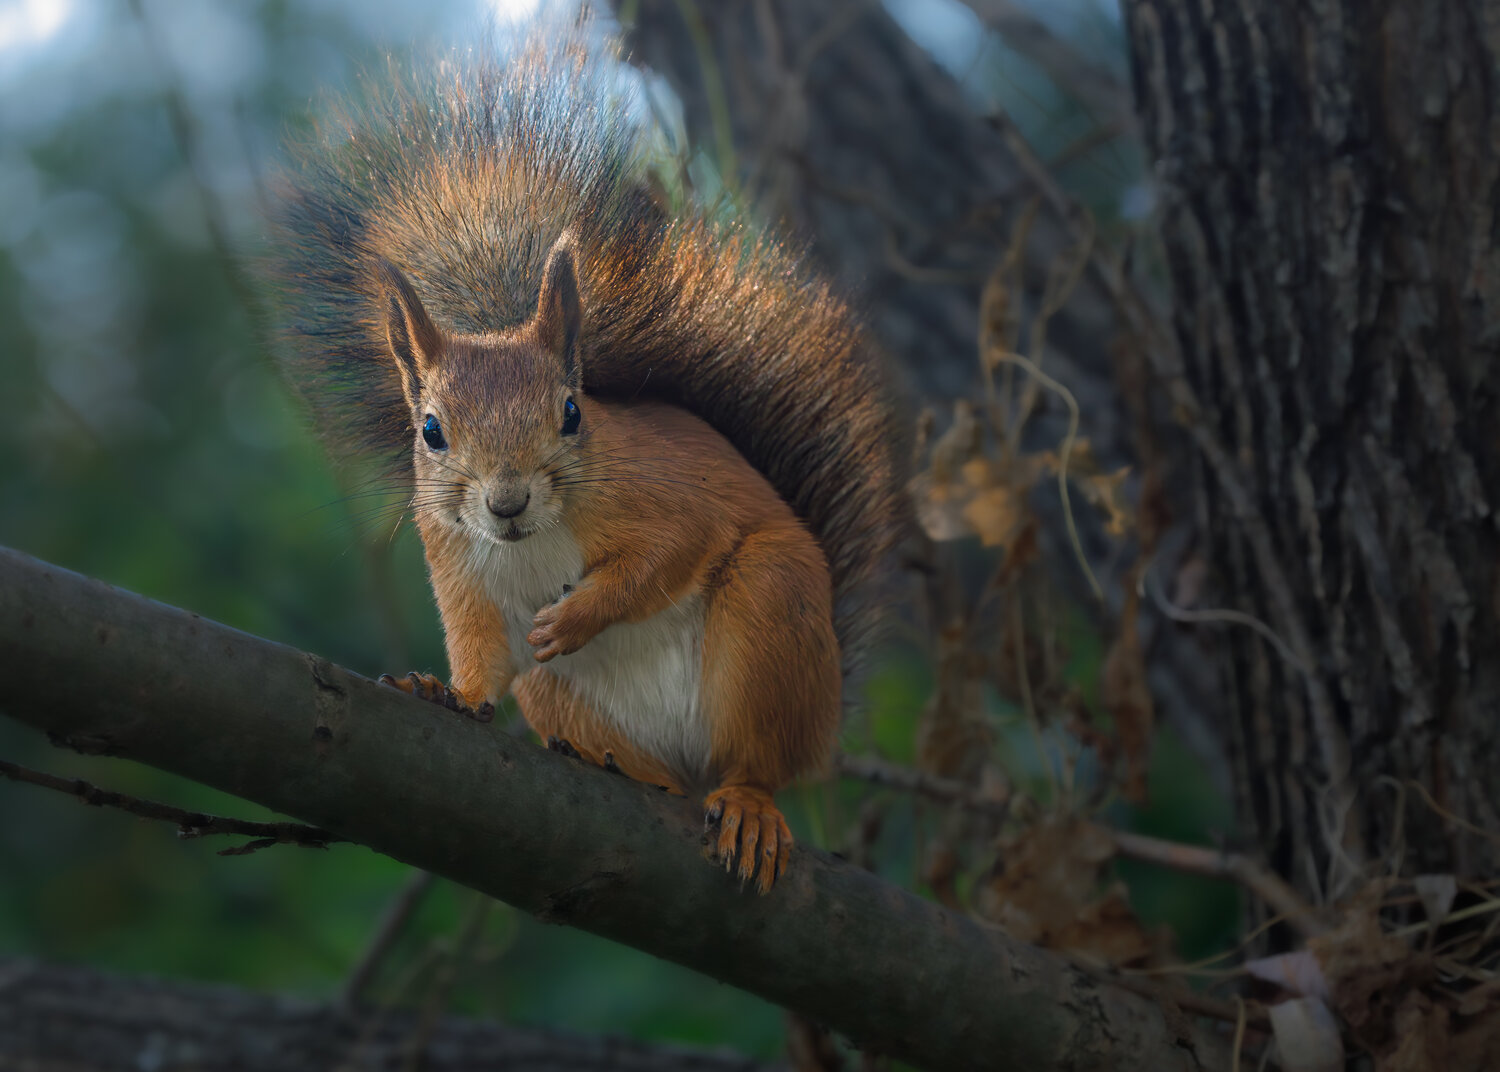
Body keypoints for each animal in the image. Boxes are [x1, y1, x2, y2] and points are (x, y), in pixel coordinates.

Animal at [267, 25, 904, 893]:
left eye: (571, 413)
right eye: (430, 431)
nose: (505, 504)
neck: (532, 541)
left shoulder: (667, 496)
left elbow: (668, 552)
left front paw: (575, 615)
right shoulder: (455, 560)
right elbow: (479, 648)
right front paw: (448, 692)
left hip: (771, 614)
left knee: (756, 761)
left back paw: (745, 802)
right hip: (557, 694)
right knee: (641, 757)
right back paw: (623, 769)